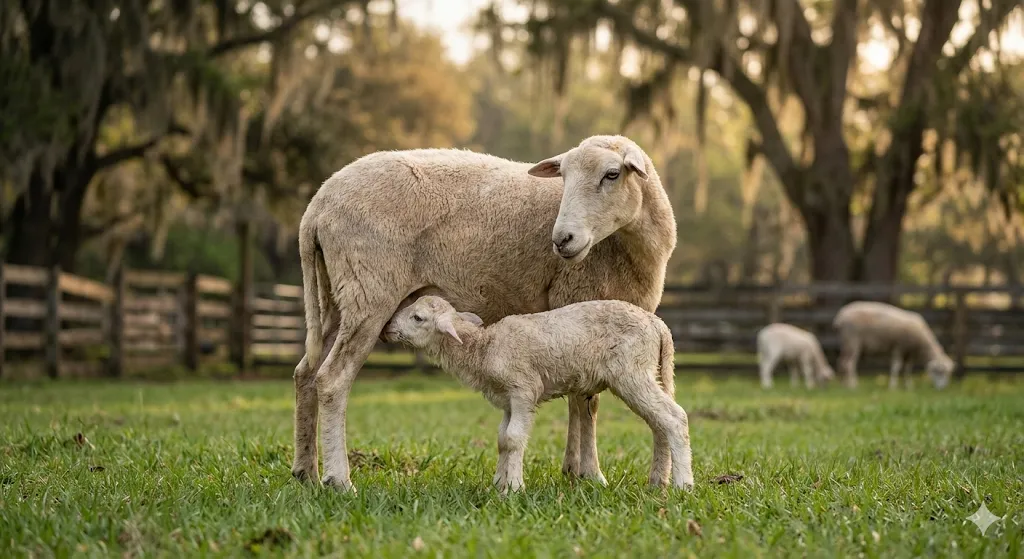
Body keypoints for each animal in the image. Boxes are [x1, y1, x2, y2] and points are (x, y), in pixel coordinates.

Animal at [382, 295, 693, 493]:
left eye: (418, 317)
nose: (387, 328)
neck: (484, 349)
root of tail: (659, 325)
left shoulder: (523, 389)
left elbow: (513, 437)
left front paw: (514, 488)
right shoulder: (507, 399)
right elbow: (502, 439)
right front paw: (499, 483)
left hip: (633, 371)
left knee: (674, 418)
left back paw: (683, 485)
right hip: (647, 372)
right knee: (659, 424)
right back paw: (658, 482)